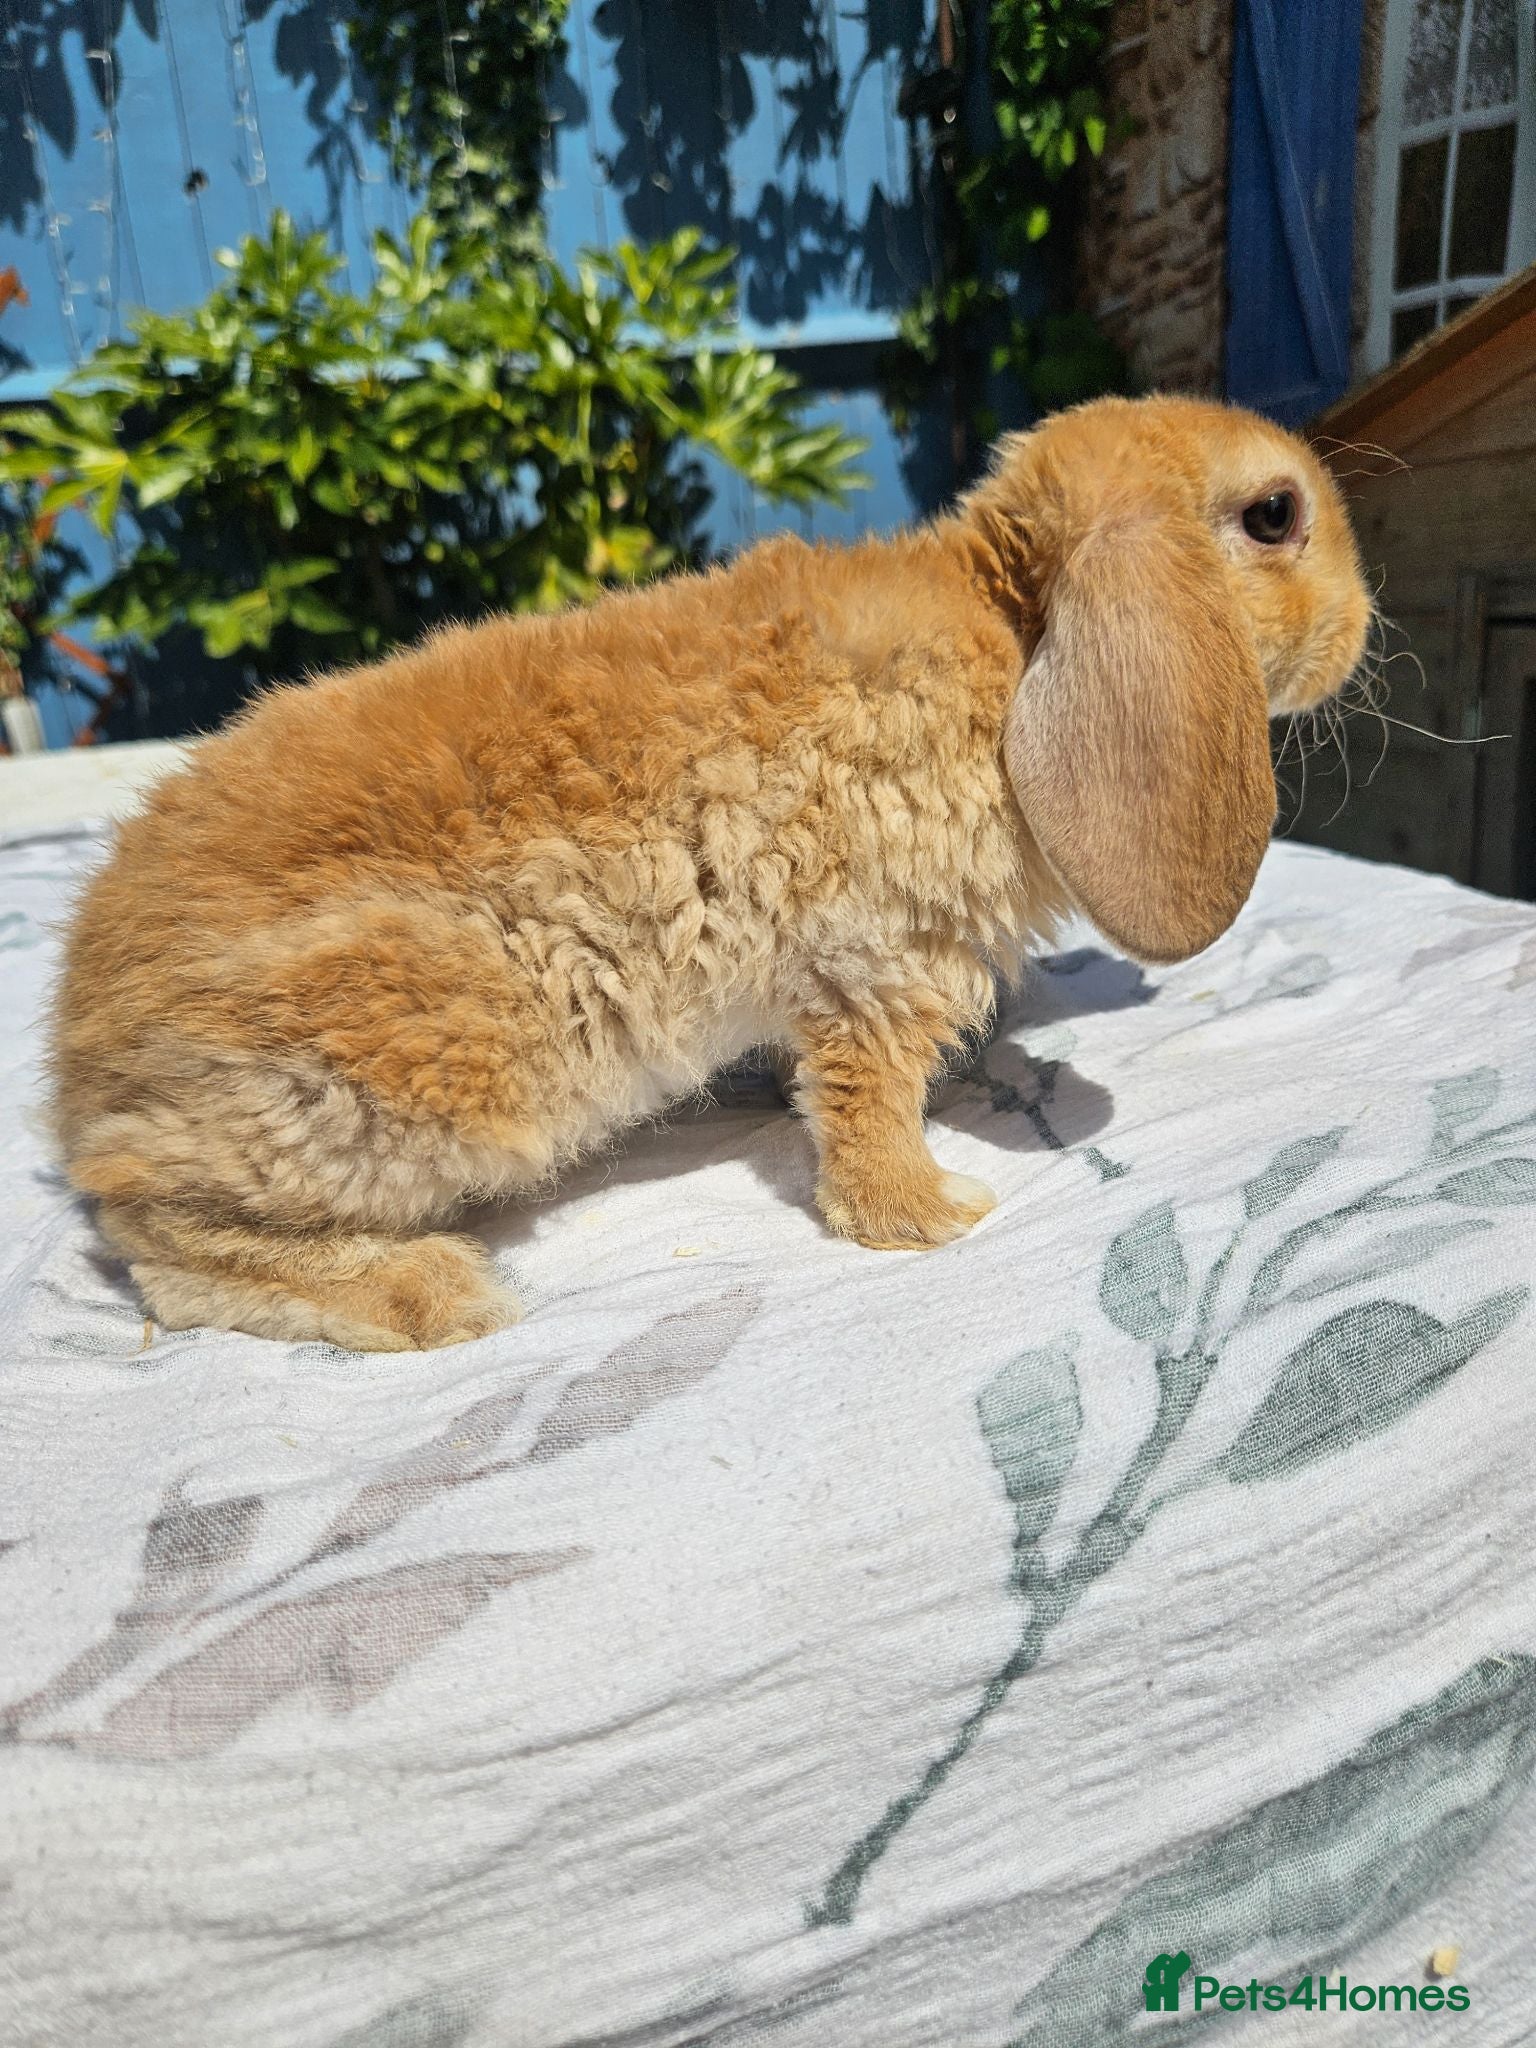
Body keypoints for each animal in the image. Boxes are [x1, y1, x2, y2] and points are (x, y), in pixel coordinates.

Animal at [50, 395, 1372, 1351]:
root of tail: (79, 1067)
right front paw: (933, 1215)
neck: (1011, 631)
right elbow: (867, 1113)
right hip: (441, 1065)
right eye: (1273, 515)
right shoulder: (875, 967)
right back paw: (434, 1292)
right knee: (161, 1246)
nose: (1364, 626)